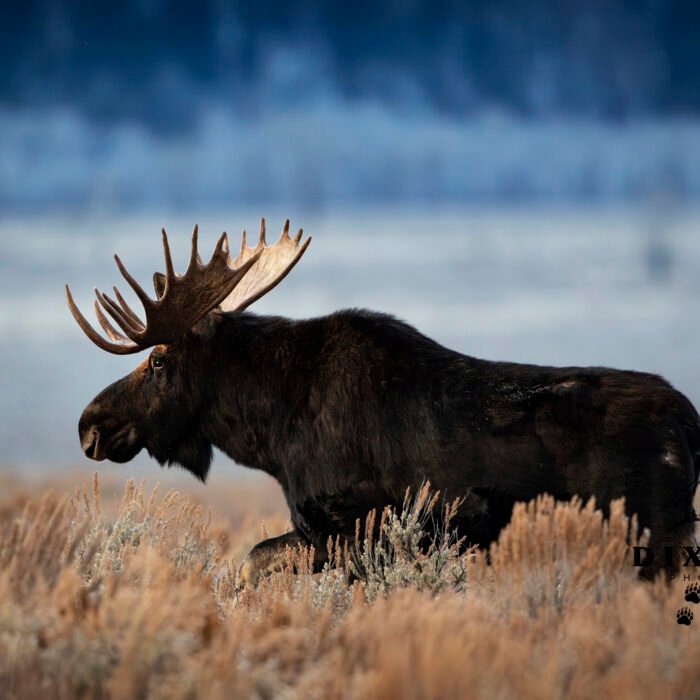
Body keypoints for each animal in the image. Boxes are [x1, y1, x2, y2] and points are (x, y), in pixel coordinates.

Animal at [67, 219, 700, 583]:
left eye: (158, 361)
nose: (89, 425)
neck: (269, 433)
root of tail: (690, 427)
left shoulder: (347, 527)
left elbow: (251, 566)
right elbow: (253, 562)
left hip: (656, 536)